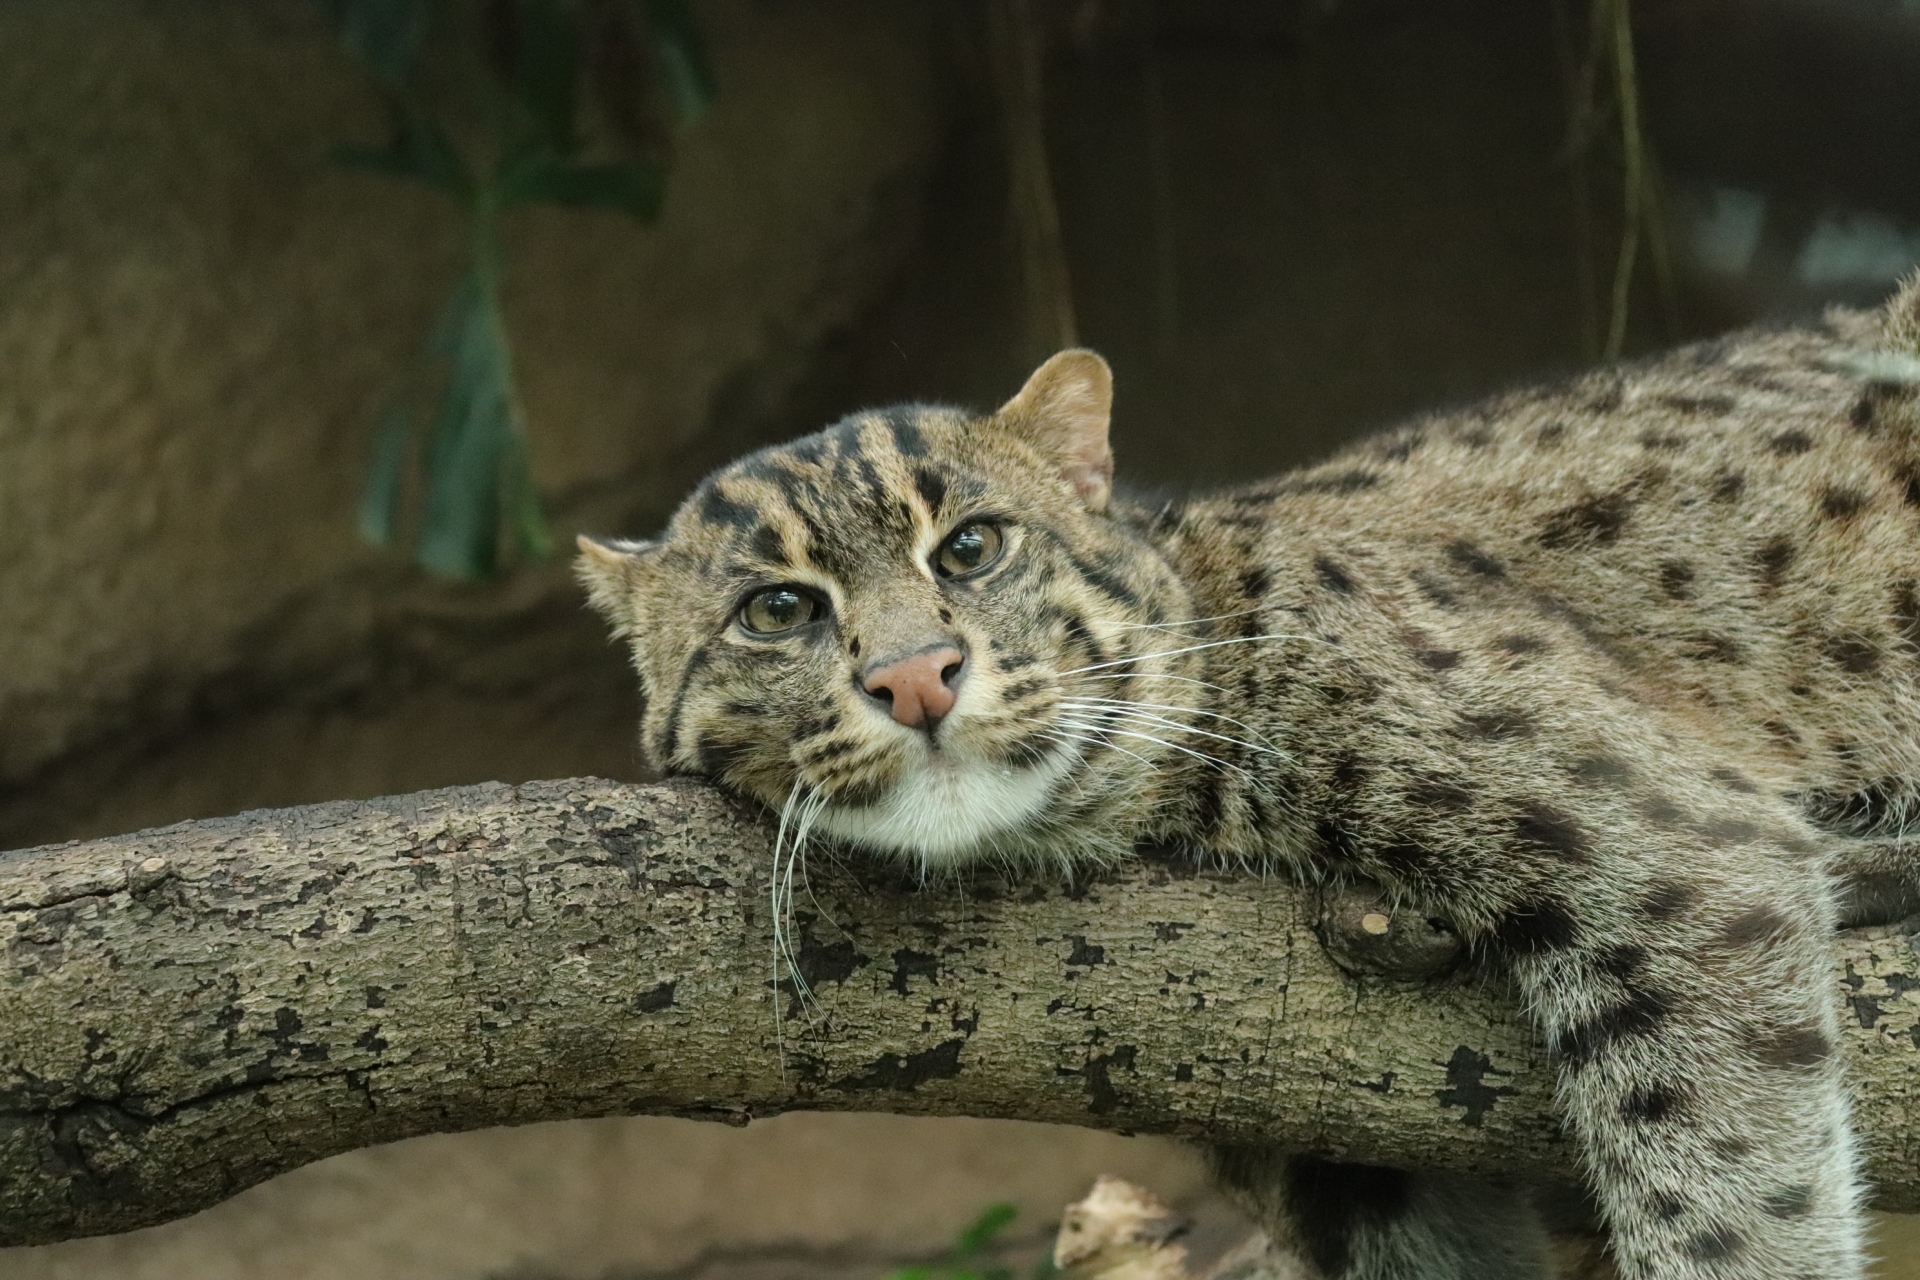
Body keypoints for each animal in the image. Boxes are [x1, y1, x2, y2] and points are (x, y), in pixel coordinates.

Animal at [572, 278, 1920, 1274]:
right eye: (777, 608)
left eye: (973, 545)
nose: (914, 677)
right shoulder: (1339, 1158)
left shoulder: (1668, 843)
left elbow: (1722, 1186)